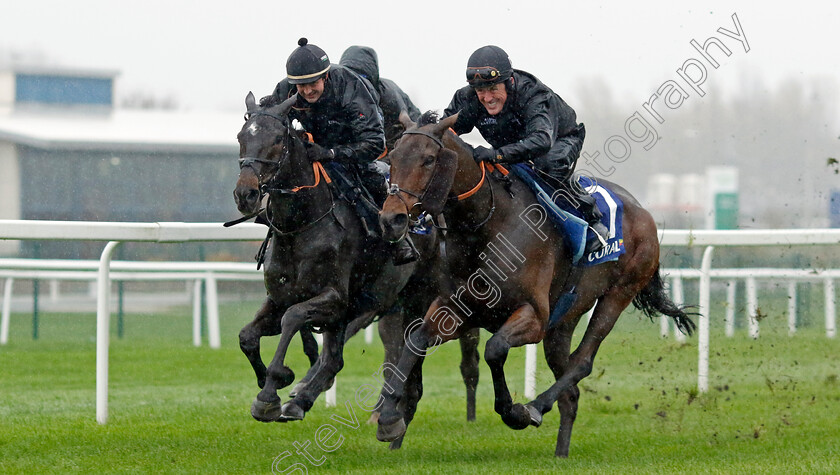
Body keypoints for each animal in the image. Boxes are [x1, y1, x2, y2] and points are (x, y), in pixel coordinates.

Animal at [233, 93, 480, 428]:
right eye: (241, 137)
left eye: (276, 140)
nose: (245, 194)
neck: (302, 225)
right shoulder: (282, 297)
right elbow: (247, 335)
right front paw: (272, 382)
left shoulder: (335, 299)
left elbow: (293, 318)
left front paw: (271, 390)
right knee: (341, 358)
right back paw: (308, 400)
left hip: (430, 297)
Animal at [378, 111, 692, 458]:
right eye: (393, 157)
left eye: (429, 159)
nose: (391, 219)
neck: (489, 223)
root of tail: (644, 211)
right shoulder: (457, 309)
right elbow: (414, 340)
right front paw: (389, 418)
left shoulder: (534, 316)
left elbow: (494, 349)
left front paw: (513, 411)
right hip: (564, 319)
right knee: (571, 390)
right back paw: (561, 452)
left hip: (619, 293)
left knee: (582, 362)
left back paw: (535, 407)